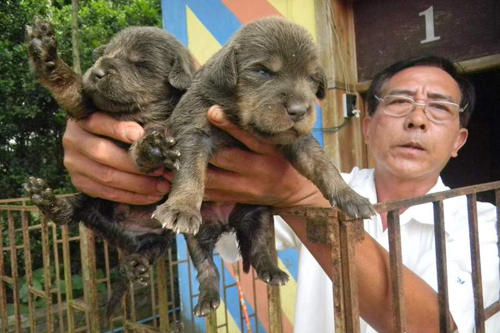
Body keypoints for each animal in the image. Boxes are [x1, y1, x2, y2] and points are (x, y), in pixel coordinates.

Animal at [24, 18, 195, 316]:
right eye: (108, 53)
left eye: (140, 64)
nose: (98, 71)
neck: (138, 115)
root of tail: (124, 234)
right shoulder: (90, 108)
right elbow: (74, 91)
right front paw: (47, 58)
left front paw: (153, 147)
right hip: (93, 202)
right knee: (73, 212)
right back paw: (49, 200)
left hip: (160, 237)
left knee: (148, 250)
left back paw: (135, 265)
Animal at [152, 16, 376, 316]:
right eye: (262, 72)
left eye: (311, 78)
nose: (299, 110)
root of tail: (226, 223)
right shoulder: (194, 131)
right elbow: (191, 171)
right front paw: (181, 207)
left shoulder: (299, 140)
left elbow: (323, 165)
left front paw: (350, 196)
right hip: (199, 234)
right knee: (206, 266)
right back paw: (207, 298)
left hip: (258, 217)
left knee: (259, 249)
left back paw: (273, 271)